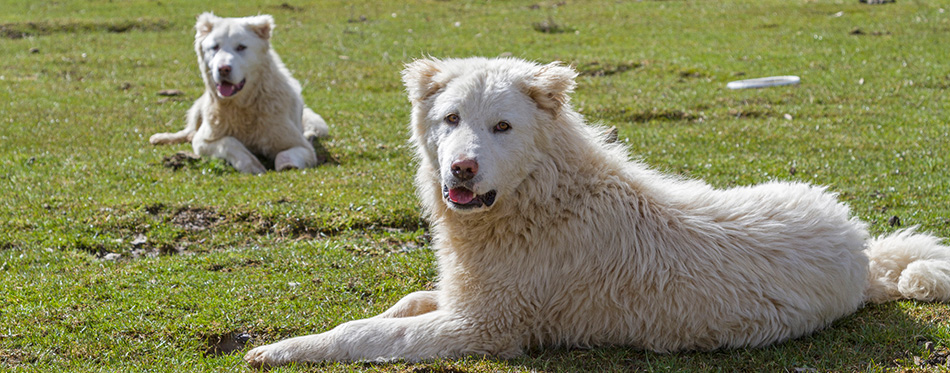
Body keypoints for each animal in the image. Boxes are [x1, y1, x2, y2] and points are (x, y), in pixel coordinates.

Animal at [147, 12, 330, 173]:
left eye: (241, 47)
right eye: (215, 47)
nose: (223, 69)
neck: (242, 106)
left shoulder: (303, 147)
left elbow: (284, 155)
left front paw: (286, 165)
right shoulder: (203, 140)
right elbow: (229, 142)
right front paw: (251, 164)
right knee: (189, 131)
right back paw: (162, 137)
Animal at [244, 56, 950, 364]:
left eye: (502, 126)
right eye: (450, 120)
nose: (461, 170)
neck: (541, 195)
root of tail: (860, 243)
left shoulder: (484, 329)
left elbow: (366, 334)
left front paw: (283, 349)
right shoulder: (469, 296)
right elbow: (402, 304)